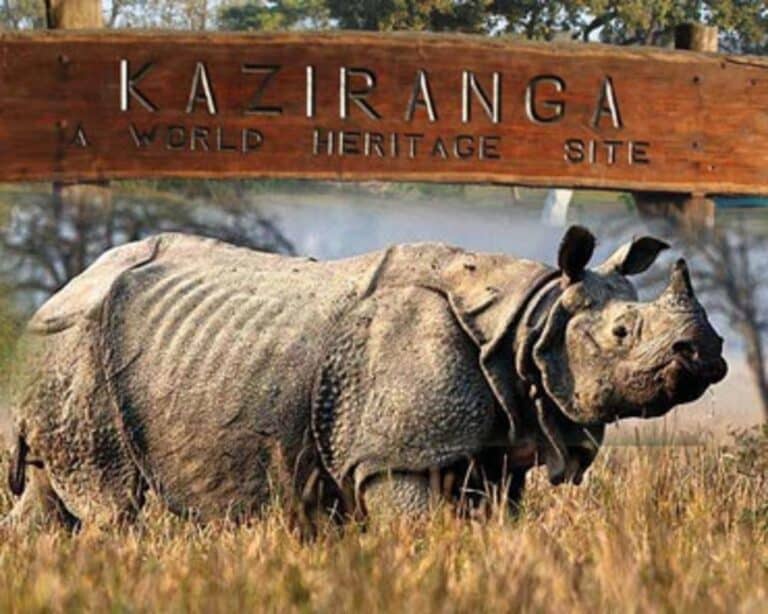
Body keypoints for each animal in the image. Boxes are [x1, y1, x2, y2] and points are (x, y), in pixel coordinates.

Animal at [3, 226, 727, 529]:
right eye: (622, 333)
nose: (709, 353)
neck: (530, 321)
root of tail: (58, 293)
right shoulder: (391, 455)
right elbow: (416, 528)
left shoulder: (493, 450)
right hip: (73, 352)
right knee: (110, 506)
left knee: (49, 504)